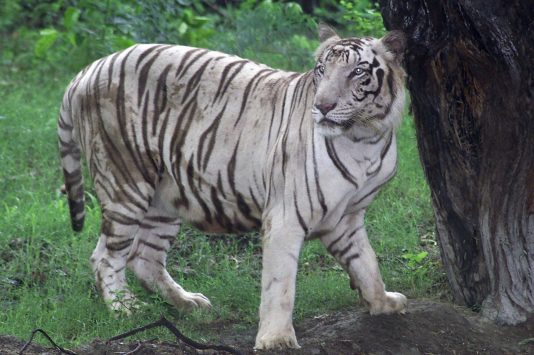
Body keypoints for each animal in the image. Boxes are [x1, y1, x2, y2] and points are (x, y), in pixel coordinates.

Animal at [58, 25, 408, 350]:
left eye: (357, 71)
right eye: (322, 69)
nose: (323, 106)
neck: (365, 138)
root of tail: (87, 70)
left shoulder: (345, 218)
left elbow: (366, 262)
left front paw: (383, 302)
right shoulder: (286, 216)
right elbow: (280, 284)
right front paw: (276, 340)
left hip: (164, 196)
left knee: (144, 256)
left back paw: (189, 303)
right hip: (125, 182)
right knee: (105, 255)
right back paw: (124, 307)